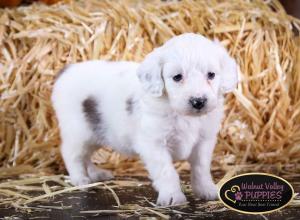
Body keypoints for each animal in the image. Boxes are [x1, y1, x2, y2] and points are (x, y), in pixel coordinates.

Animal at [52, 32, 239, 206]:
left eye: (211, 75)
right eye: (177, 77)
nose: (198, 101)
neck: (183, 115)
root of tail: (65, 71)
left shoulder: (203, 141)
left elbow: (201, 168)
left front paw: (206, 190)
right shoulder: (154, 144)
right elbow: (167, 172)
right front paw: (172, 197)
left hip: (94, 134)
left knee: (86, 156)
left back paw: (97, 173)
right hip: (78, 132)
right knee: (72, 154)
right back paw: (80, 179)